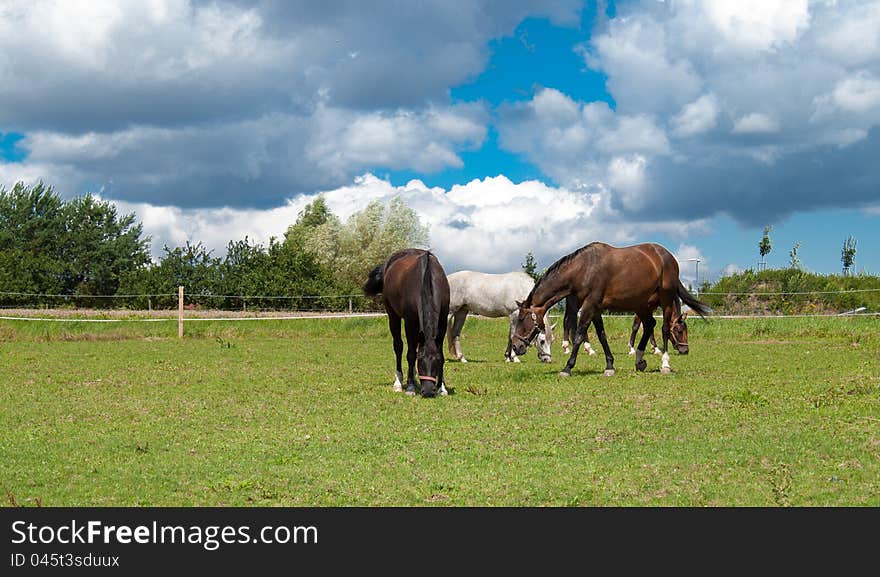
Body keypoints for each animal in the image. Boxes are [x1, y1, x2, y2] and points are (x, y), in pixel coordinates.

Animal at [360, 248, 450, 396]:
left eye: (436, 362)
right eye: (420, 362)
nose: (428, 391)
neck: (427, 278)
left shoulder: (442, 322)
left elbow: (441, 353)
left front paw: (441, 388)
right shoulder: (409, 322)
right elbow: (411, 354)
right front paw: (410, 387)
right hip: (393, 316)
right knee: (399, 346)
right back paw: (399, 382)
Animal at [512, 243, 712, 378]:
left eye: (523, 319)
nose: (516, 346)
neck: (583, 269)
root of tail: (667, 256)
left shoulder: (590, 306)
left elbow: (579, 335)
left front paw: (567, 368)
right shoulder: (594, 309)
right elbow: (601, 335)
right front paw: (609, 366)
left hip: (665, 299)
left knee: (662, 328)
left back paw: (665, 364)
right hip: (641, 304)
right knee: (649, 325)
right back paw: (639, 359)